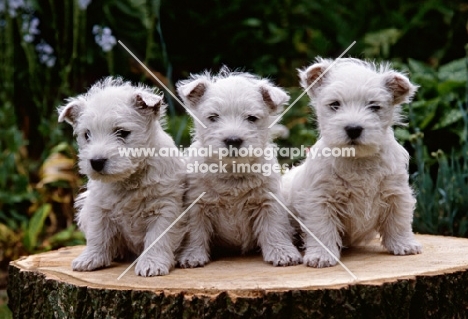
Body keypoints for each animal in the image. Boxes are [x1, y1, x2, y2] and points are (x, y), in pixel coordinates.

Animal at [59, 76, 186, 276]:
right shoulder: (97, 208)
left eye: (122, 132)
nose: (96, 162)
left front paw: (151, 264)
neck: (129, 179)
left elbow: (157, 237)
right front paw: (90, 259)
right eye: (87, 134)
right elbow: (97, 235)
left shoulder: (166, 207)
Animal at [176, 69, 304, 268]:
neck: (232, 172)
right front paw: (192, 255)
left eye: (251, 118)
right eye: (213, 117)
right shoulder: (197, 204)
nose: (233, 140)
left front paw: (283, 253)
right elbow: (195, 231)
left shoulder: (268, 201)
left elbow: (274, 227)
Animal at [284, 58, 422, 268]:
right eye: (335, 104)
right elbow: (322, 230)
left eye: (374, 106)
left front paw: (404, 245)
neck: (357, 160)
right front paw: (321, 256)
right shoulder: (320, 200)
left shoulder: (396, 192)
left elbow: (399, 222)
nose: (354, 129)